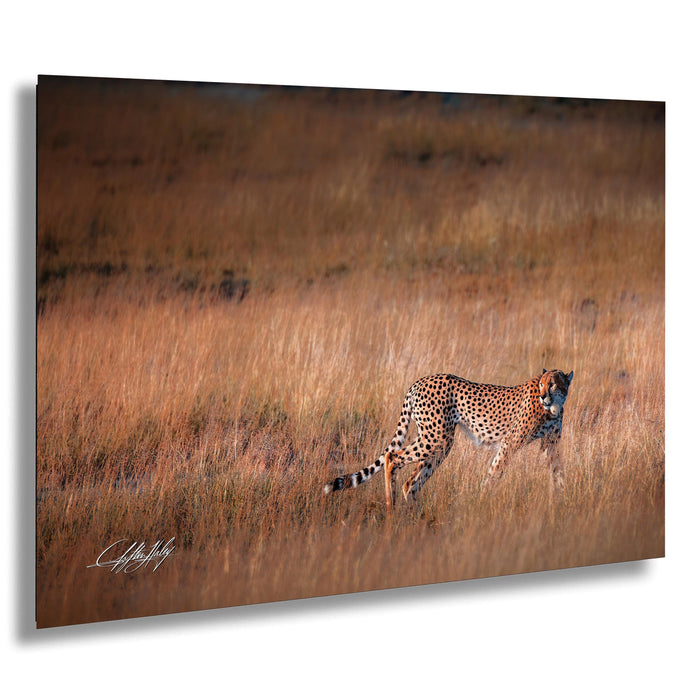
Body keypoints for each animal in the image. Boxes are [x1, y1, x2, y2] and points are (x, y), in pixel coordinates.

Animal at [323, 369, 573, 510]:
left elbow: (558, 472)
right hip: (437, 438)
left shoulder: (551, 444)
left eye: (552, 383)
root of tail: (419, 381)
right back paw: (391, 507)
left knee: (411, 483)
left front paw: (564, 502)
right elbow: (494, 473)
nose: (543, 395)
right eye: (541, 384)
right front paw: (481, 502)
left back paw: (416, 519)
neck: (553, 407)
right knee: (392, 456)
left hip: (437, 443)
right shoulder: (509, 443)